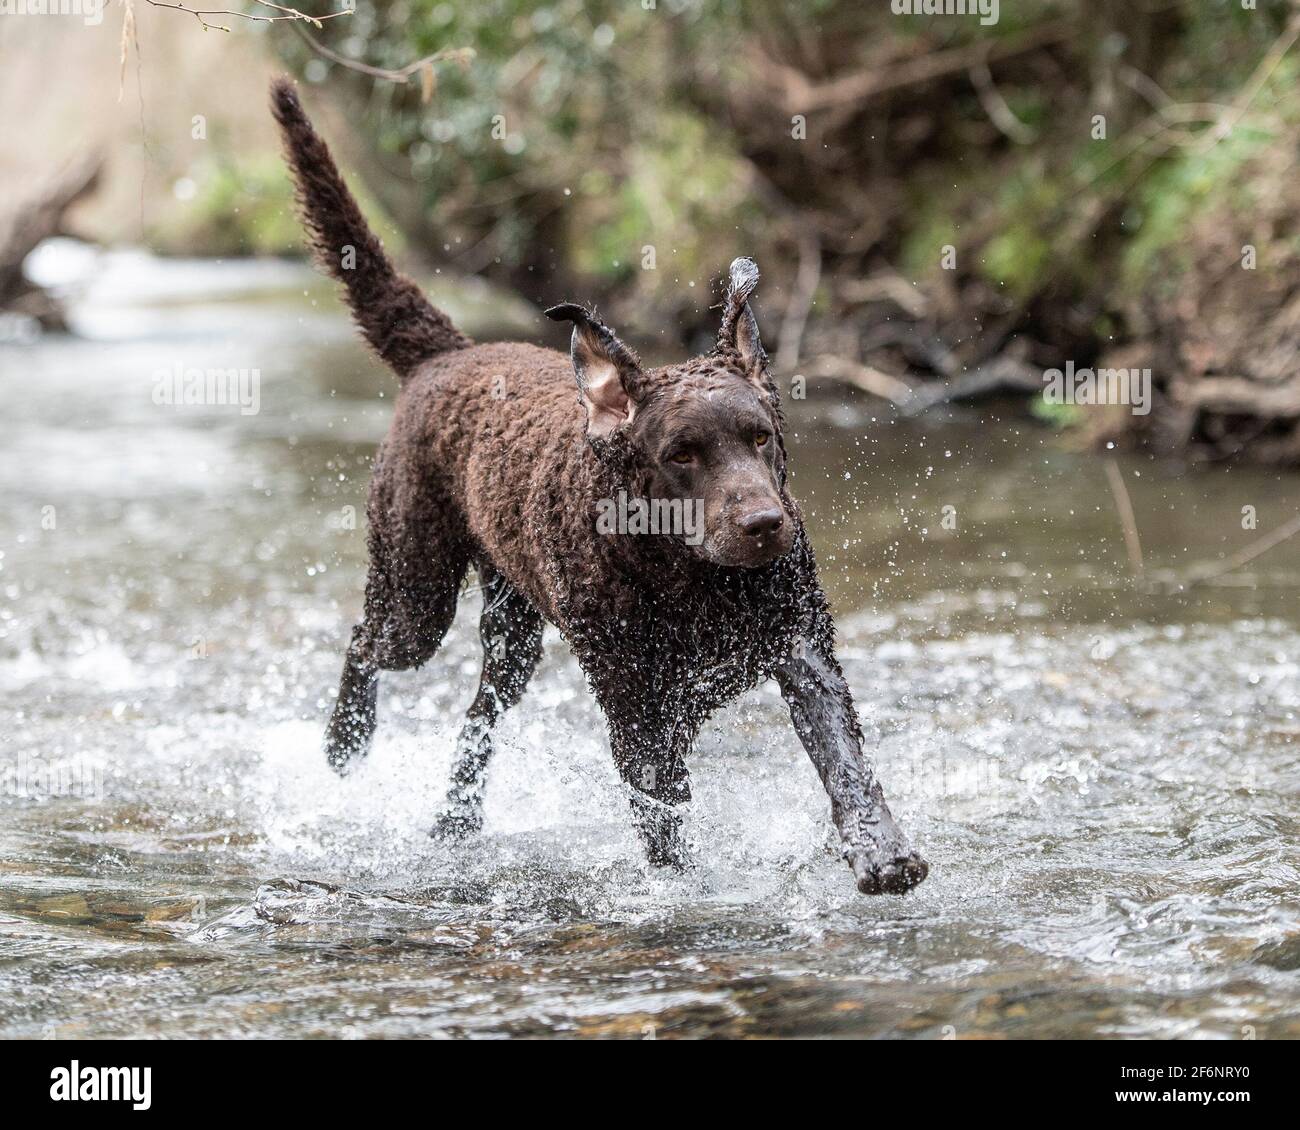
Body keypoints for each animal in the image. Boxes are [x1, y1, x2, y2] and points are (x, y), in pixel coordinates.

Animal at [271, 77, 925, 889]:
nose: (765, 525)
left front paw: (883, 851)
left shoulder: (802, 648)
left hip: (511, 632)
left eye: (761, 437)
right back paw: (345, 745)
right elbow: (665, 820)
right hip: (414, 590)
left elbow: (844, 760)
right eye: (682, 454)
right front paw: (684, 890)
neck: (692, 581)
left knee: (478, 717)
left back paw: (455, 823)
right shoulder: (637, 712)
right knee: (366, 643)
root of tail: (446, 355)